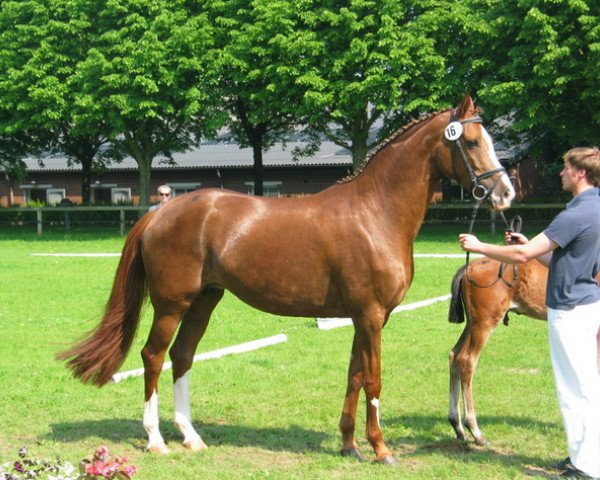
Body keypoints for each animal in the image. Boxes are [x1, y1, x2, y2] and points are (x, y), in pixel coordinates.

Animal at [58, 94, 512, 464]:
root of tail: (160, 212)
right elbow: (373, 379)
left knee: (182, 356)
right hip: (172, 304)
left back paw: (191, 436)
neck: (375, 213)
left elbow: (354, 375)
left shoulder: (364, 318)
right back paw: (155, 439)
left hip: (205, 300)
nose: (505, 193)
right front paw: (381, 449)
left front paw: (349, 446)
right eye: (473, 142)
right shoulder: (370, 315)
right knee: (153, 357)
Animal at [448, 258, 600, 446]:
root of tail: (471, 266)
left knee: (454, 355)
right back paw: (475, 431)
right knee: (467, 360)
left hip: (472, 323)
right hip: (484, 323)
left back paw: (457, 425)